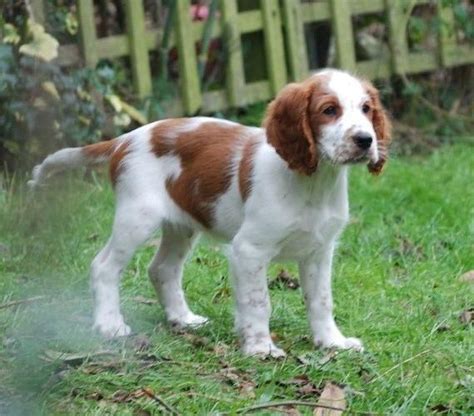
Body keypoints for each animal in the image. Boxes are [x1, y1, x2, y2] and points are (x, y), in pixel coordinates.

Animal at [30, 69, 392, 358]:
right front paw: (261, 348)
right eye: (329, 110)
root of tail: (126, 138)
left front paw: (332, 342)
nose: (365, 140)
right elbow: (259, 301)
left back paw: (183, 319)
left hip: (181, 225)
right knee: (104, 266)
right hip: (137, 218)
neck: (313, 181)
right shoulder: (249, 249)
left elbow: (321, 300)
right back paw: (110, 325)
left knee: (162, 269)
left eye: (366, 109)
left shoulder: (319, 251)